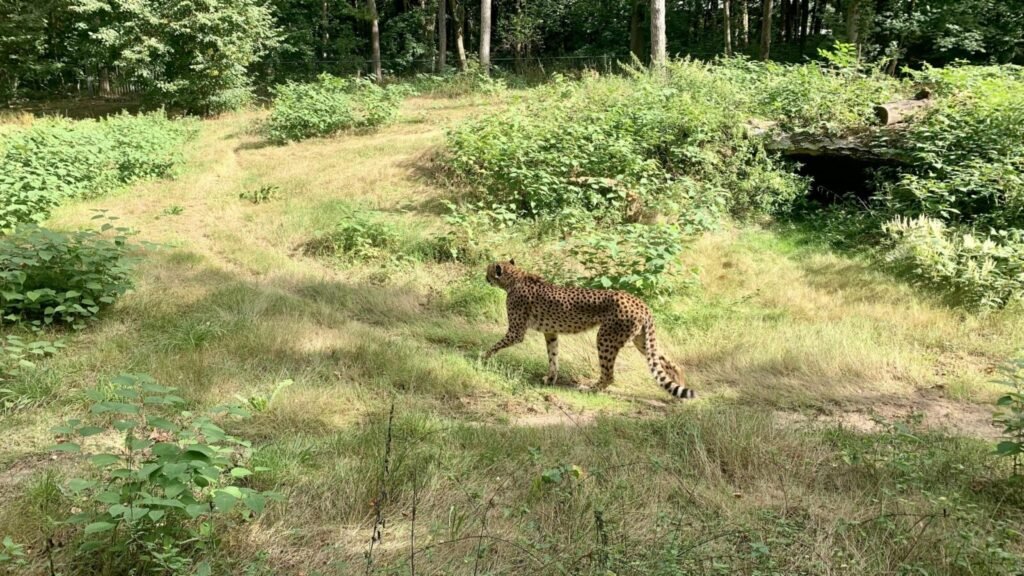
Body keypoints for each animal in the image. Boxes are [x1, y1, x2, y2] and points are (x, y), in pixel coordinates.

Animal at [482, 259, 695, 399]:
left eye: (489, 270)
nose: (485, 278)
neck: (515, 278)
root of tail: (640, 302)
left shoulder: (516, 332)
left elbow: (494, 345)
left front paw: (482, 358)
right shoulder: (551, 332)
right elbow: (553, 357)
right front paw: (551, 378)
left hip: (606, 337)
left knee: (609, 375)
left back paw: (590, 389)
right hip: (641, 341)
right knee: (670, 363)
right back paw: (678, 391)